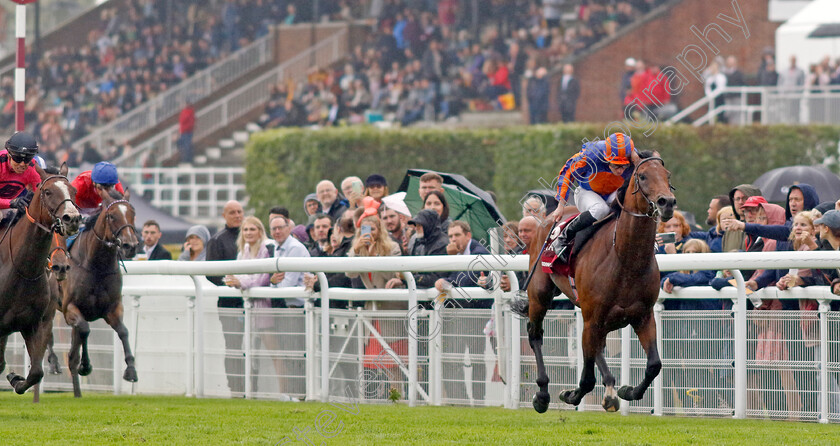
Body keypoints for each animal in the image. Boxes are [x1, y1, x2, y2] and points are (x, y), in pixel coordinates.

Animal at [0, 166, 81, 396]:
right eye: (47, 191)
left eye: (73, 190)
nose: (72, 218)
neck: (21, 269)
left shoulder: (34, 323)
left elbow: (36, 372)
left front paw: (15, 378)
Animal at [62, 188, 138, 398]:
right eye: (112, 216)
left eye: (133, 214)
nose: (130, 246)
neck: (97, 266)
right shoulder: (70, 308)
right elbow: (85, 330)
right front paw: (86, 366)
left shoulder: (112, 308)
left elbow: (123, 331)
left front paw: (131, 370)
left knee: (71, 356)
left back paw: (77, 394)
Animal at [512, 152, 676, 412]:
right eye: (642, 176)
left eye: (667, 175)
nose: (666, 202)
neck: (626, 259)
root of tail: (546, 220)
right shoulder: (592, 318)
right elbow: (587, 379)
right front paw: (569, 395)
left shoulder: (643, 316)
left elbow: (654, 365)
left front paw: (628, 391)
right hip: (540, 293)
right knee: (535, 333)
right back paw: (543, 393)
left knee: (598, 346)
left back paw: (610, 389)